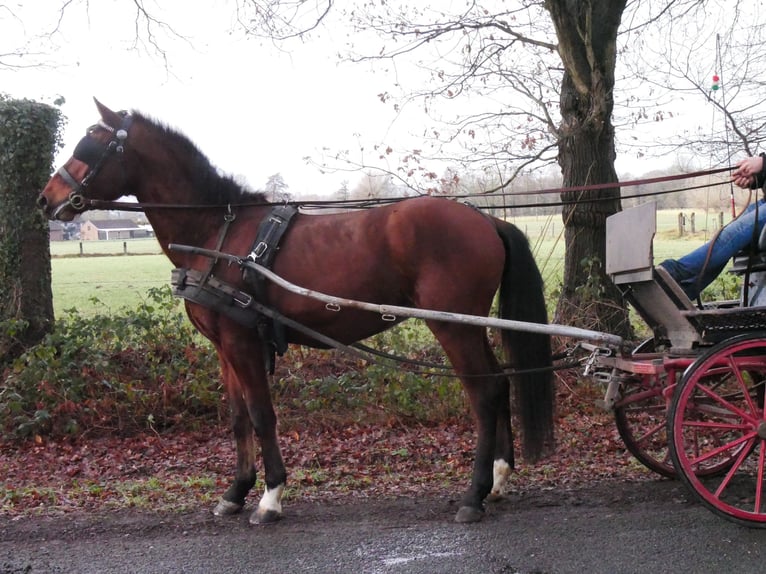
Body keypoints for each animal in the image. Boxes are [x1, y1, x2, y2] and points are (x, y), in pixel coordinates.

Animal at [38, 99, 555, 524]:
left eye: (90, 145)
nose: (47, 199)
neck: (216, 234)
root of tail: (485, 219)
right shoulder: (224, 348)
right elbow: (237, 417)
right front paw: (235, 492)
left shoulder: (244, 342)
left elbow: (262, 414)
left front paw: (270, 498)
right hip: (471, 327)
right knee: (500, 383)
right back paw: (500, 480)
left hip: (452, 327)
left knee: (484, 394)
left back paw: (474, 494)